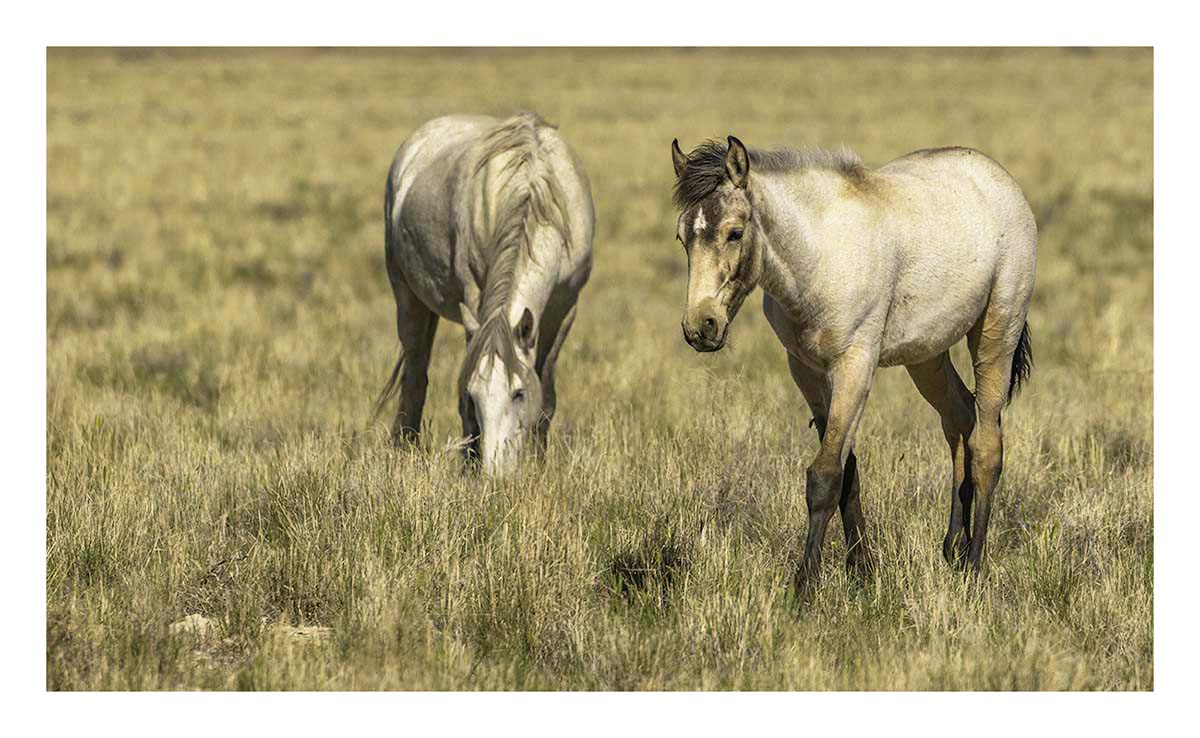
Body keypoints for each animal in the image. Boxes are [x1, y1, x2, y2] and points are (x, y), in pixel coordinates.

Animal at [375, 113, 594, 475]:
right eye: (474, 395)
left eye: (519, 393)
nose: (496, 473)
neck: (533, 193)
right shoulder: (475, 299)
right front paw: (468, 467)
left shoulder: (564, 308)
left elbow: (547, 392)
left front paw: (539, 465)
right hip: (406, 296)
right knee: (415, 375)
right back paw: (405, 448)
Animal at [668, 136, 1035, 585]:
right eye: (682, 237)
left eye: (734, 232)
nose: (700, 327)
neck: (819, 254)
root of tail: (1000, 179)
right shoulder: (806, 371)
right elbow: (847, 473)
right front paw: (862, 572)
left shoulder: (854, 367)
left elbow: (825, 476)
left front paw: (804, 586)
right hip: (928, 356)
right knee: (960, 418)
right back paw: (954, 546)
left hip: (996, 336)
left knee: (986, 445)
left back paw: (974, 565)